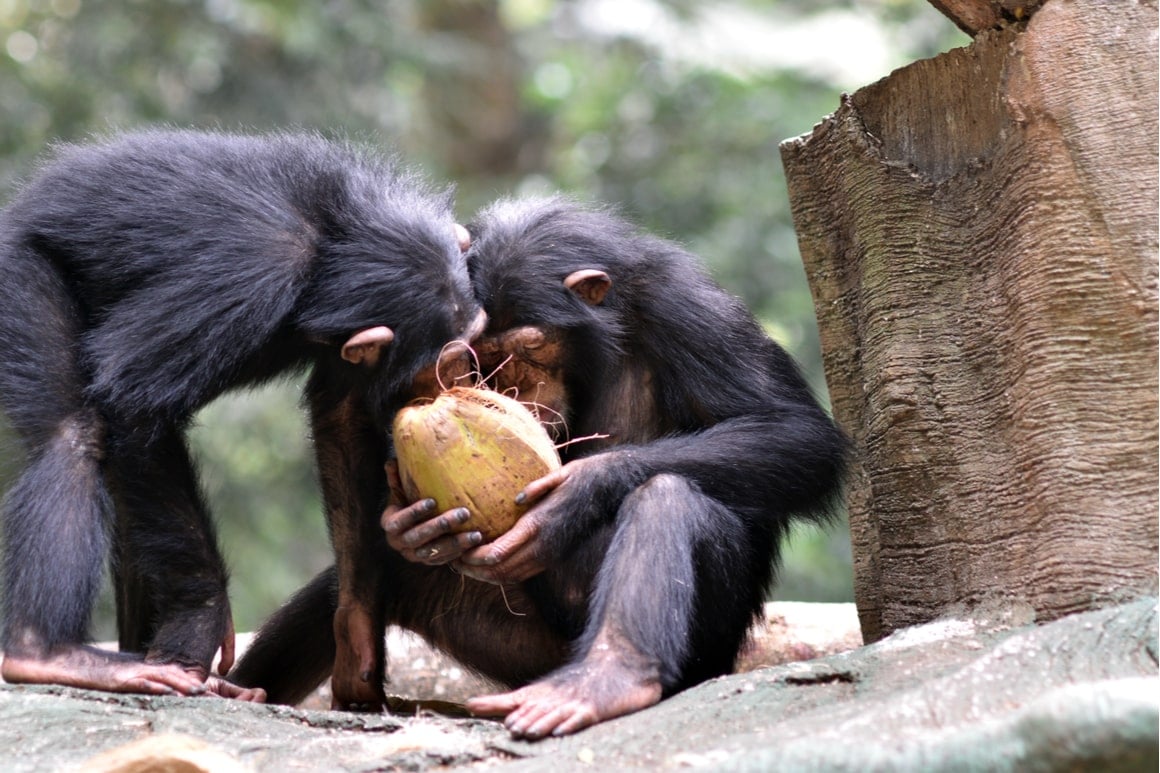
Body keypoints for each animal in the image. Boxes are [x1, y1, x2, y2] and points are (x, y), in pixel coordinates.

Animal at [0, 131, 482, 696]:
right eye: (450, 362)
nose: (471, 380)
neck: (327, 254)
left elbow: (341, 417)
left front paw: (357, 634)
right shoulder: (249, 278)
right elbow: (132, 400)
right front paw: (201, 620)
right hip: (17, 277)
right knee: (73, 433)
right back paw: (44, 653)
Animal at [228, 196, 844, 733]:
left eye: (529, 347)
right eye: (483, 354)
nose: (514, 386)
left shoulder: (692, 311)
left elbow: (795, 433)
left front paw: (578, 493)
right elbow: (350, 407)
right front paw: (409, 529)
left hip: (699, 656)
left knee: (669, 499)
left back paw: (605, 681)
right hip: (519, 652)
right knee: (345, 586)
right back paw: (245, 688)